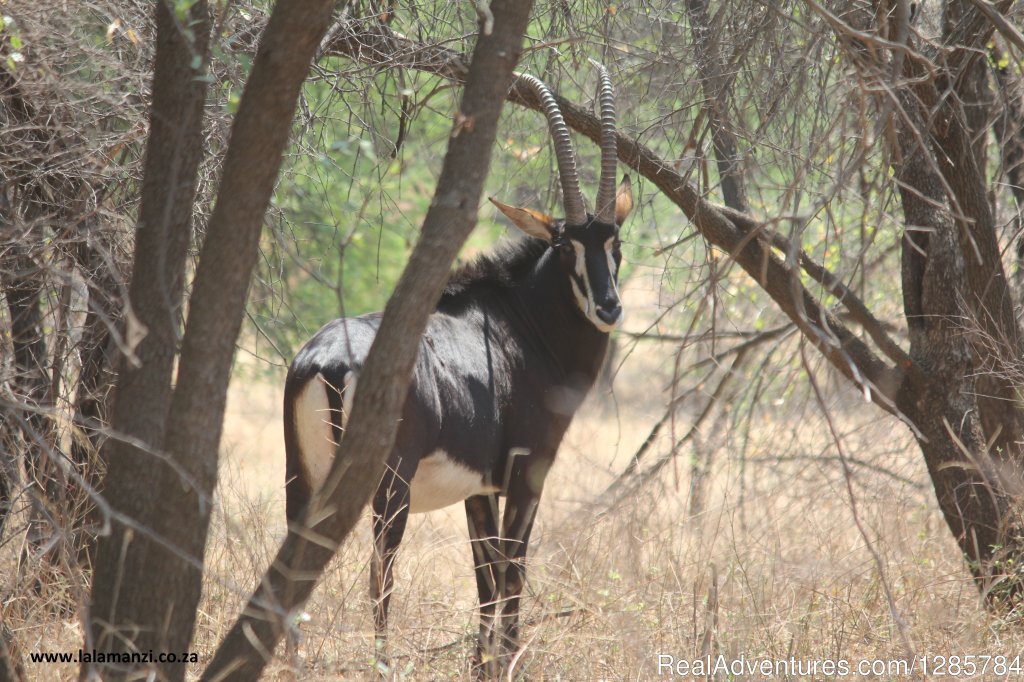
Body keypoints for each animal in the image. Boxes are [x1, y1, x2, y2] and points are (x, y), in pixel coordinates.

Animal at [282, 66, 630, 671]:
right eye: (565, 246)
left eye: (617, 244)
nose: (608, 308)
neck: (523, 323)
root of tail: (323, 360)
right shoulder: (526, 473)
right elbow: (511, 572)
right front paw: (507, 663)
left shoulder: (479, 489)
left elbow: (485, 578)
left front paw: (483, 664)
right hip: (386, 491)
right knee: (379, 578)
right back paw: (382, 665)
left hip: (302, 484)